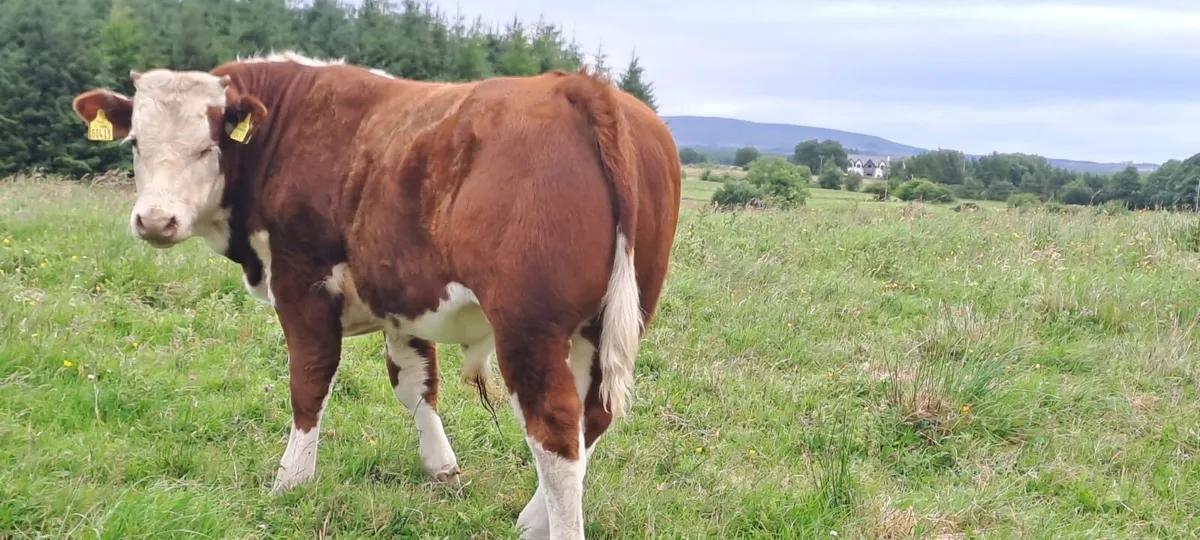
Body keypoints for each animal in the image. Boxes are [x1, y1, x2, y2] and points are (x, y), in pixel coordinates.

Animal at [70, 51, 681, 539]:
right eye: (136, 142)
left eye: (208, 145)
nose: (155, 220)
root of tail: (581, 87)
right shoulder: (401, 298)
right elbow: (415, 384)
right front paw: (441, 468)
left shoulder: (302, 280)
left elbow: (310, 381)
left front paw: (291, 481)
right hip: (604, 323)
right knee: (591, 416)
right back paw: (534, 517)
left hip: (529, 327)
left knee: (554, 430)